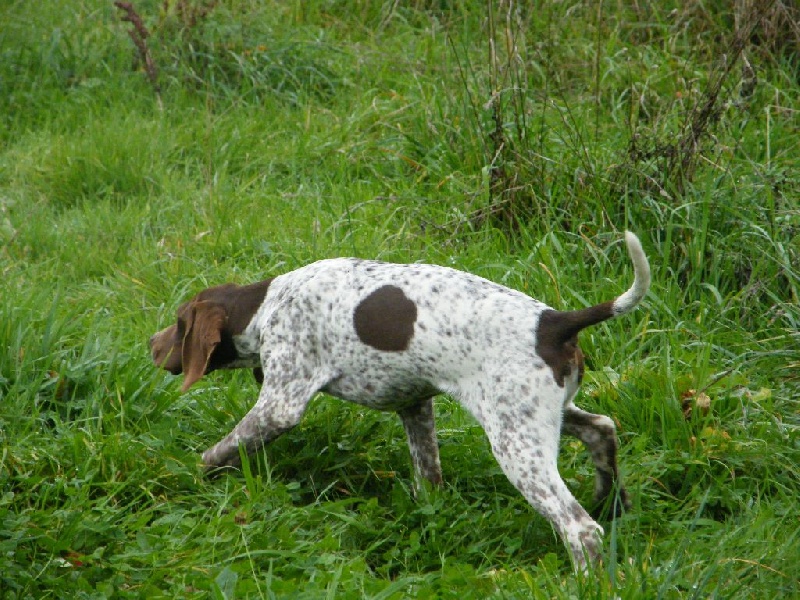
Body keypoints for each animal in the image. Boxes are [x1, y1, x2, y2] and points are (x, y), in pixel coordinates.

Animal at [150, 231, 648, 568]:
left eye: (179, 323)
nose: (152, 345)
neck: (268, 305)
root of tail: (556, 322)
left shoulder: (281, 405)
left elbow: (219, 450)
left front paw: (189, 475)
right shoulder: (415, 404)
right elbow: (428, 475)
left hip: (516, 443)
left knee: (579, 528)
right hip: (544, 414)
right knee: (602, 430)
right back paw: (611, 502)